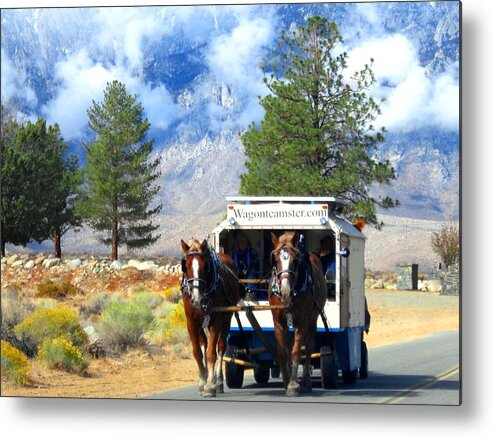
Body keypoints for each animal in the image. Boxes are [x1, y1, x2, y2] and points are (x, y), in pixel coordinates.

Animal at [180, 238, 239, 396]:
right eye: (185, 266)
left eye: (205, 266)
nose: (196, 299)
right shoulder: (192, 322)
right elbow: (197, 352)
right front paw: (202, 380)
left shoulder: (215, 321)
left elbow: (211, 353)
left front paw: (210, 385)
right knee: (204, 343)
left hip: (226, 319)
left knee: (221, 347)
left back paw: (218, 382)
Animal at [270, 232, 326, 396]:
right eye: (276, 260)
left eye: (295, 261)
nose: (285, 291)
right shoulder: (278, 322)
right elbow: (283, 352)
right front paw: (286, 381)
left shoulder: (301, 322)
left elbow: (296, 352)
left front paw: (293, 384)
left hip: (312, 320)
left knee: (308, 348)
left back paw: (306, 381)